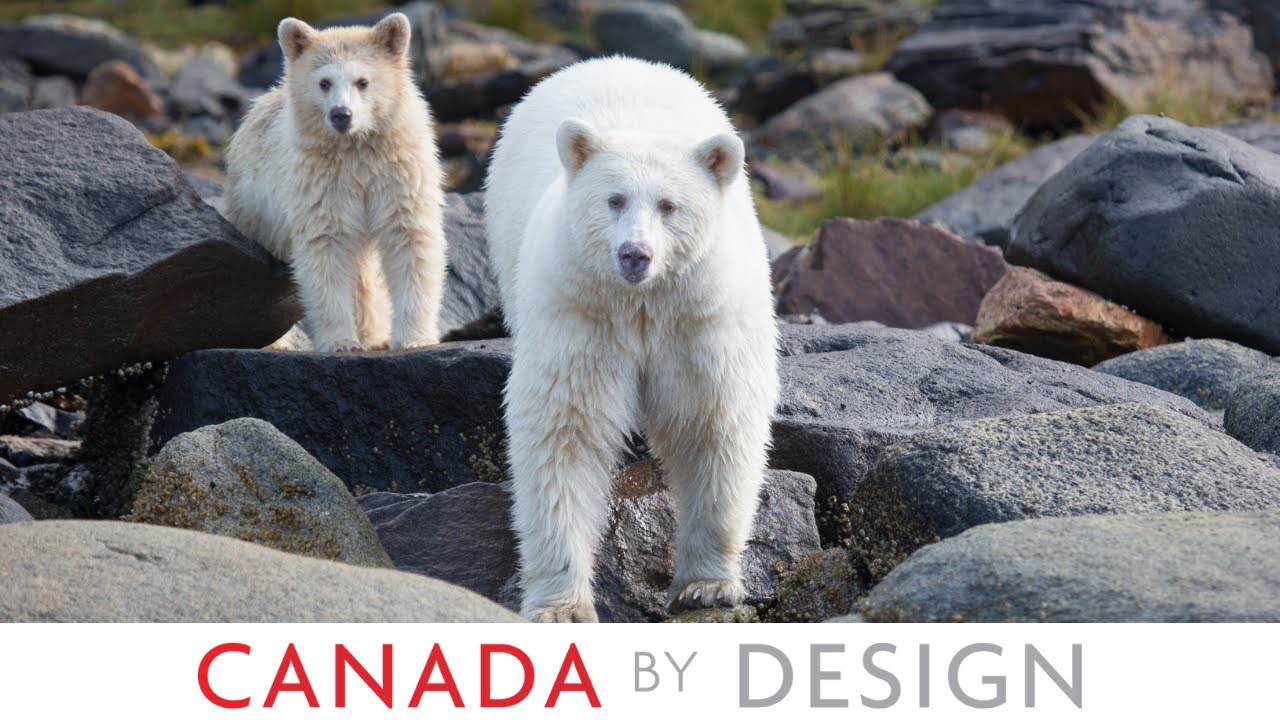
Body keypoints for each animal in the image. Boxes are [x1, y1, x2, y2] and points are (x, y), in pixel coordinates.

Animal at [224, 12, 446, 352]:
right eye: (324, 83)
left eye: (362, 81)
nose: (342, 115)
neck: (355, 148)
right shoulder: (322, 182)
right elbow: (327, 247)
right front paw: (340, 341)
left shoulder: (398, 171)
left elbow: (409, 238)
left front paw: (413, 338)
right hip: (252, 206)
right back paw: (274, 343)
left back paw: (374, 335)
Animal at [484, 56, 780, 622]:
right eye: (614, 200)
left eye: (669, 205)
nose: (634, 255)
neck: (642, 306)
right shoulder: (582, 314)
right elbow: (566, 428)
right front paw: (561, 605)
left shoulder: (698, 318)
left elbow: (713, 419)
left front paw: (707, 585)